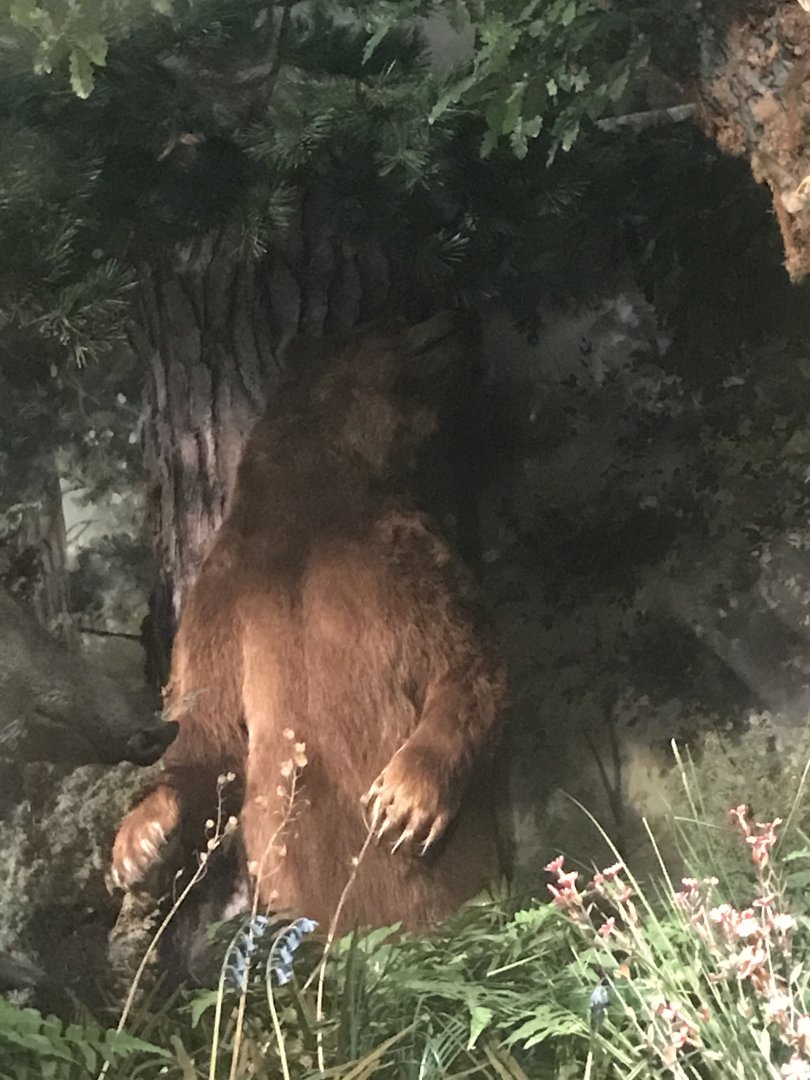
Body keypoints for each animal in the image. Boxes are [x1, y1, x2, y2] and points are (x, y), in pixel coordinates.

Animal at [111, 311, 507, 932]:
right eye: (388, 324)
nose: (455, 318)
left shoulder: (398, 555)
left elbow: (468, 658)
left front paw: (401, 802)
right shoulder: (225, 594)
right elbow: (205, 723)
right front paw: (138, 843)